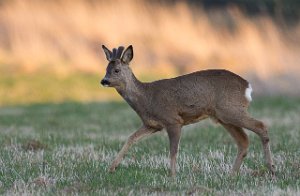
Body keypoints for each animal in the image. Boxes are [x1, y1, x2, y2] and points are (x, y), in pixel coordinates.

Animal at [99, 44, 276, 176]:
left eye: (116, 70)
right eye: (106, 69)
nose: (104, 81)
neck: (146, 98)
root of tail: (247, 86)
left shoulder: (173, 120)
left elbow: (173, 150)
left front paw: (172, 175)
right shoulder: (152, 124)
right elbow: (131, 138)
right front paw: (111, 168)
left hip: (231, 109)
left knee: (261, 126)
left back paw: (271, 168)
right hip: (224, 116)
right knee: (243, 140)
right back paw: (232, 174)